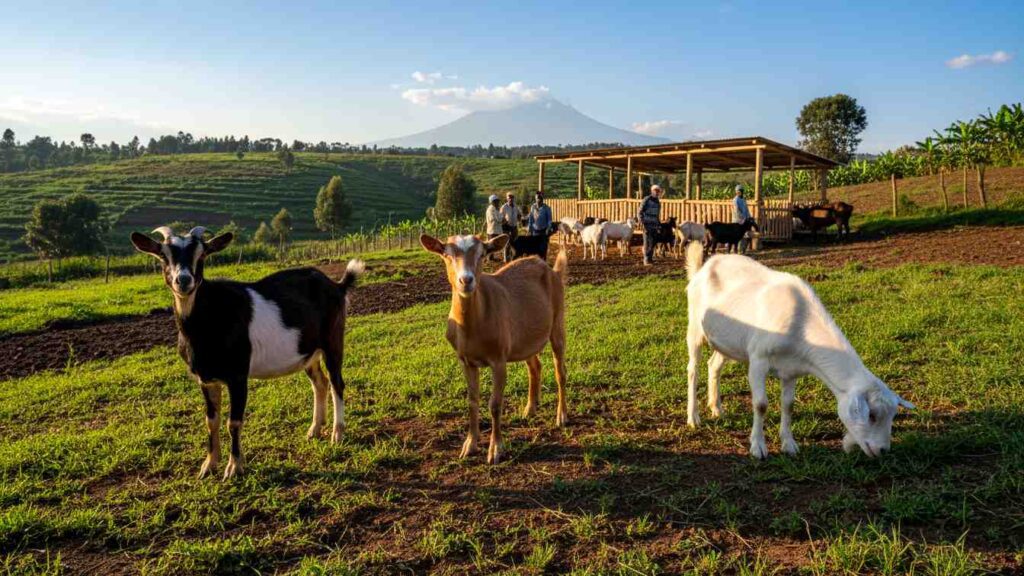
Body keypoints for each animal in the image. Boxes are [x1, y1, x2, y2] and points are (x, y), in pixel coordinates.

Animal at [130, 226, 363, 479]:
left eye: (202, 255)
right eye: (163, 256)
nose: (183, 280)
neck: (208, 320)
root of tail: (337, 285)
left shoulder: (238, 375)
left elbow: (234, 422)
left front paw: (234, 467)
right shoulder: (206, 379)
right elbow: (211, 421)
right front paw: (209, 465)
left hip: (333, 340)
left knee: (337, 383)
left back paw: (337, 434)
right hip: (308, 351)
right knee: (320, 383)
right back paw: (314, 430)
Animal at [420, 234, 569, 464]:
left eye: (482, 254)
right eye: (447, 254)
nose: (466, 280)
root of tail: (550, 268)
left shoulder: (498, 359)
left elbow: (495, 404)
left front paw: (496, 449)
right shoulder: (466, 361)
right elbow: (472, 401)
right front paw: (469, 445)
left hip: (557, 320)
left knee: (560, 370)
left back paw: (561, 415)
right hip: (524, 339)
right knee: (535, 366)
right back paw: (530, 408)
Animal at [683, 241, 914, 459]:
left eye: (893, 416)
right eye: (872, 415)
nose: (883, 450)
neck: (800, 324)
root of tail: (703, 267)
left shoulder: (791, 370)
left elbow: (788, 405)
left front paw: (789, 445)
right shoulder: (758, 359)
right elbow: (760, 404)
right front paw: (758, 447)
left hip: (726, 341)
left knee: (714, 365)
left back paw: (716, 408)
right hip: (694, 328)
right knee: (693, 370)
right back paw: (693, 418)